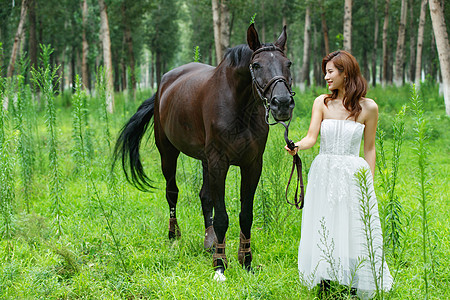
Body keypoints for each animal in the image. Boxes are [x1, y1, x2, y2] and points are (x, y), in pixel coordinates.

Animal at [112, 24, 296, 280]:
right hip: (168, 152)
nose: (282, 103)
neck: (240, 108)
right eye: (257, 65)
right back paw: (174, 236)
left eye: (288, 63)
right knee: (172, 193)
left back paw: (209, 241)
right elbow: (222, 217)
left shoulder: (251, 164)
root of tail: (163, 86)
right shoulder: (220, 162)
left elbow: (245, 215)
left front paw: (246, 261)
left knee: (205, 196)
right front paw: (220, 265)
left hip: (205, 160)